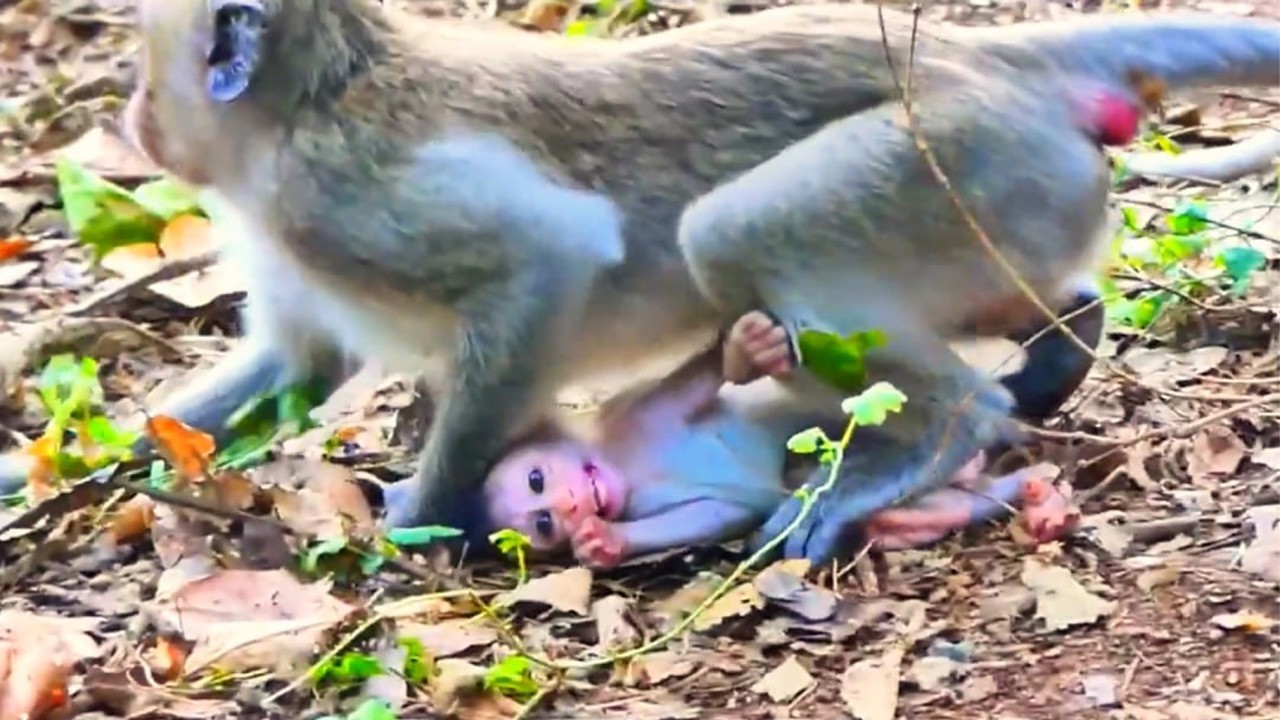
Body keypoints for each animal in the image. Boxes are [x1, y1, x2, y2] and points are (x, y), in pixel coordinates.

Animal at [481, 310, 1079, 569]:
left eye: (537, 478)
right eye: (543, 524)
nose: (570, 504)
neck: (622, 464)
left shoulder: (632, 411)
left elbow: (694, 387)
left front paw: (744, 350)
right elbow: (716, 512)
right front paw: (602, 543)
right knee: (949, 505)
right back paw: (1035, 495)